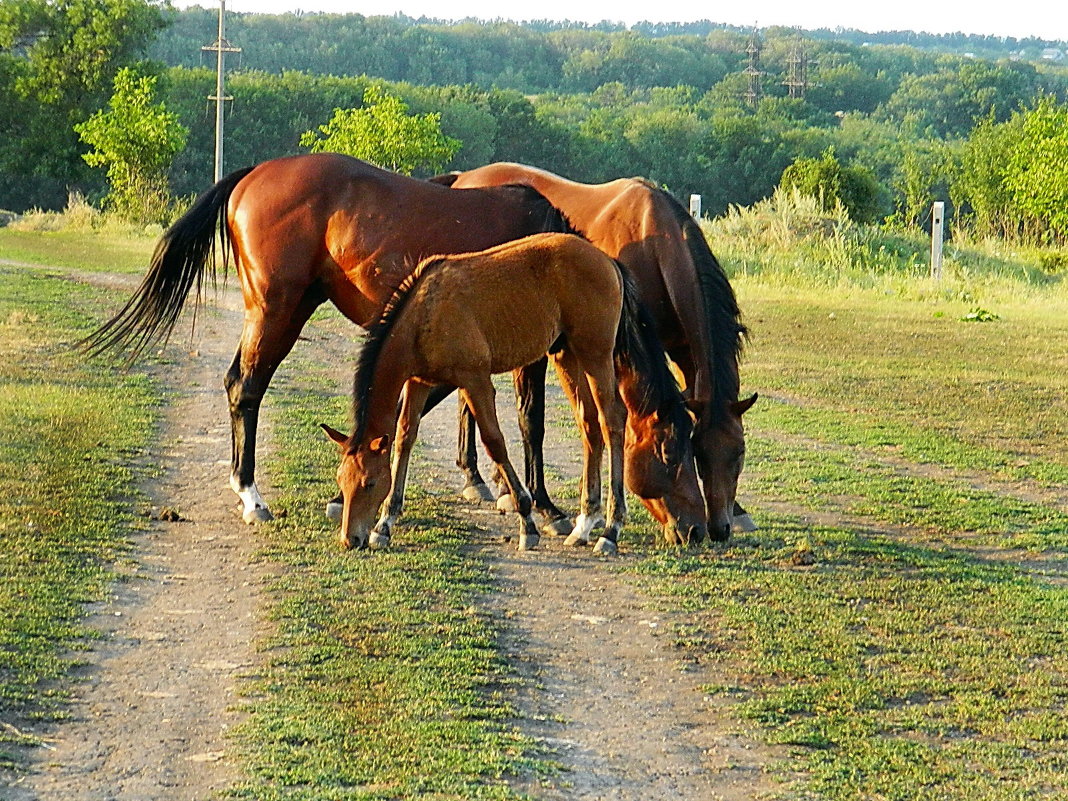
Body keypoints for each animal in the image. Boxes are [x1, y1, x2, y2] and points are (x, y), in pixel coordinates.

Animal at [81, 152, 576, 527]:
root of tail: (255, 175)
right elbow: (529, 420)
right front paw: (545, 505)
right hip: (276, 312)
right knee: (245, 386)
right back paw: (251, 495)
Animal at [318, 234, 700, 555]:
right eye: (342, 481)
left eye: (368, 483)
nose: (350, 539)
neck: (426, 310)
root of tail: (608, 261)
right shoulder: (418, 381)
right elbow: (404, 438)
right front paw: (385, 523)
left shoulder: (474, 380)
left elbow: (494, 441)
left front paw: (527, 521)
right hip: (568, 356)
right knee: (590, 426)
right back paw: (584, 524)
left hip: (596, 354)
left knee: (612, 422)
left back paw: (610, 530)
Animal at [429, 162, 756, 540]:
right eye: (697, 453)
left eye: (739, 453)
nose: (717, 528)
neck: (653, 240)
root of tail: (464, 177)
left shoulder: (682, 349)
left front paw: (739, 509)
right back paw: (480, 480)